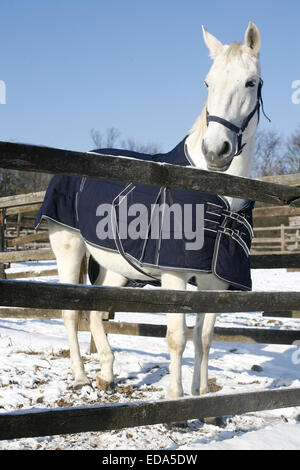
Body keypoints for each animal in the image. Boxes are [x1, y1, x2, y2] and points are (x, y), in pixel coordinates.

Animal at [47, 21, 262, 396]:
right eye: (208, 82)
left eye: (250, 82)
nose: (216, 150)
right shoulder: (175, 276)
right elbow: (178, 337)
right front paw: (176, 398)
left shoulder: (216, 281)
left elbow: (204, 337)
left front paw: (202, 396)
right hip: (69, 250)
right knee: (70, 313)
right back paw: (81, 376)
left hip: (115, 267)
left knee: (95, 310)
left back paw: (106, 374)